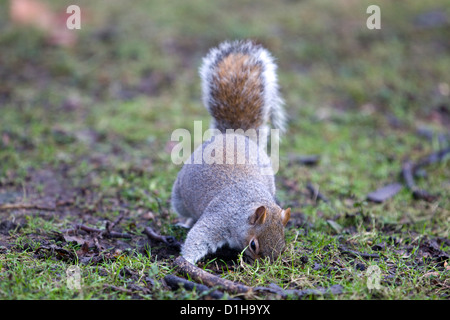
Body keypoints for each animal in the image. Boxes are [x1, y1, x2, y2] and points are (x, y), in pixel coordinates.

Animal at [171, 39, 290, 264]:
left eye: (282, 246)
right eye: (253, 245)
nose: (265, 267)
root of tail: (234, 135)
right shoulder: (219, 218)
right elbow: (198, 237)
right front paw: (187, 261)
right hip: (179, 198)